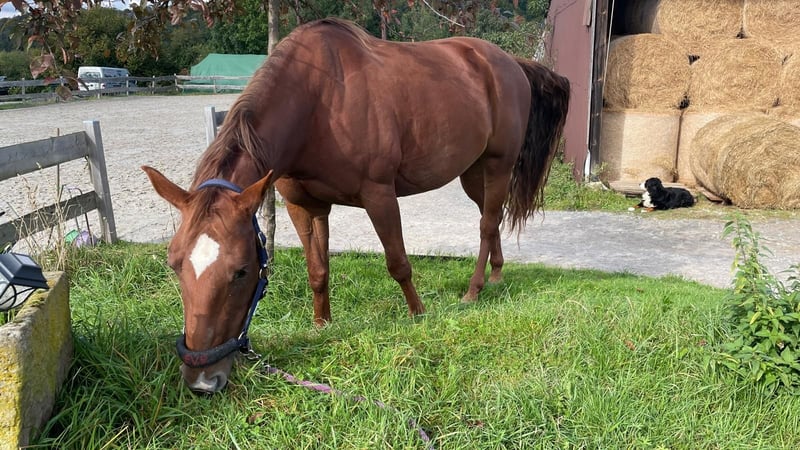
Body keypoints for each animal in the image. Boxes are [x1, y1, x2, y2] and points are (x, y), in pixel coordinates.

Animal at [142, 18, 570, 393]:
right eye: (174, 264)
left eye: (242, 271)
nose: (201, 380)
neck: (318, 104)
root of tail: (509, 63)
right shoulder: (305, 206)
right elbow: (318, 270)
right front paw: (322, 324)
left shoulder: (379, 195)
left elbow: (398, 263)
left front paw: (419, 315)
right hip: (472, 171)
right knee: (489, 217)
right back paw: (496, 276)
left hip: (499, 164)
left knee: (486, 223)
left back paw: (474, 290)